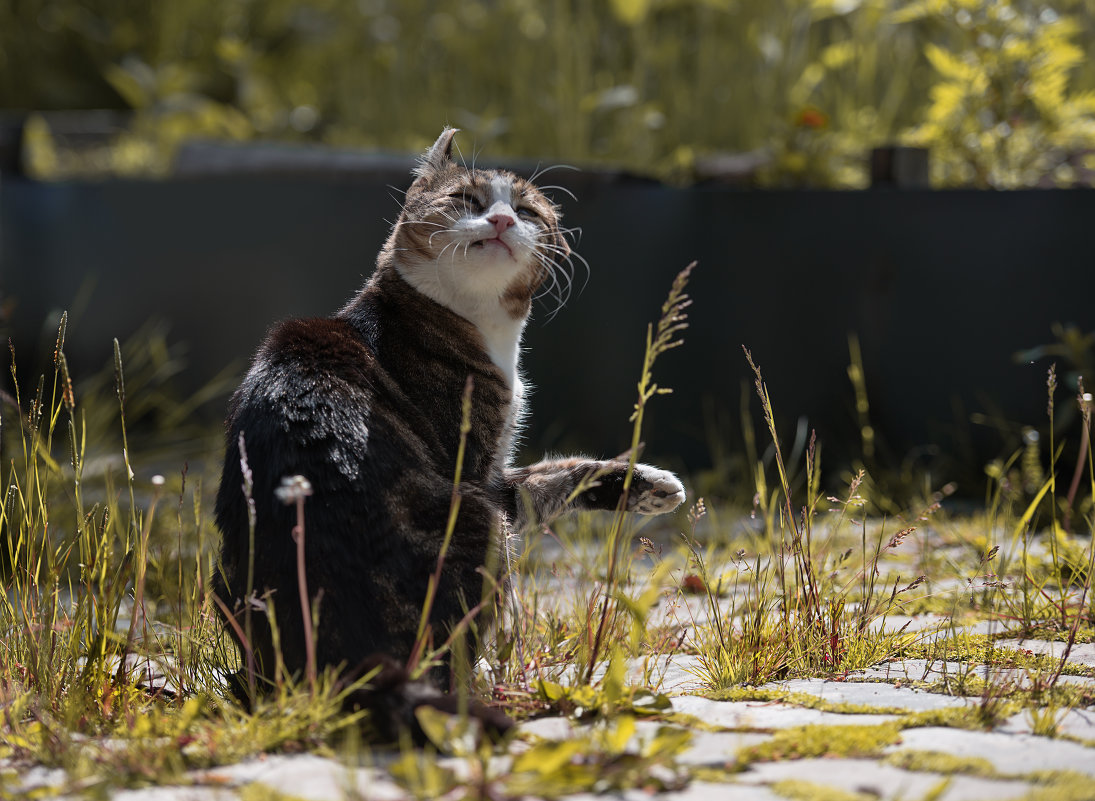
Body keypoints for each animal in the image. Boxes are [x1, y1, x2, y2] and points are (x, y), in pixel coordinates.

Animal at [212, 126, 683, 739]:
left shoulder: (500, 478)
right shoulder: (478, 470)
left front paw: (651, 485)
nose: (502, 220)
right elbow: (539, 486)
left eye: (526, 211)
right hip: (475, 525)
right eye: (468, 200)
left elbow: (553, 479)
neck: (471, 320)